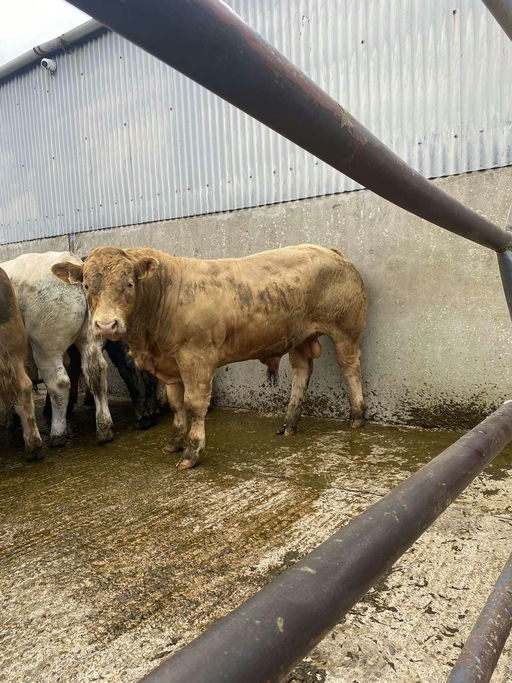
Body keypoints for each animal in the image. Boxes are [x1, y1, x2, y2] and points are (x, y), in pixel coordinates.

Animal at [1, 252, 113, 447]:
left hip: (46, 346)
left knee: (59, 383)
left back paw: (57, 434)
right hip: (90, 337)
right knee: (97, 372)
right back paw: (104, 428)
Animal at [52, 244, 367, 469]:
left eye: (128, 283)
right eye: (86, 286)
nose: (106, 325)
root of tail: (330, 250)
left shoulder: (197, 359)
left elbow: (194, 405)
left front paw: (192, 451)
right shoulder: (171, 366)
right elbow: (177, 405)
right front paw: (174, 442)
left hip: (345, 331)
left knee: (350, 367)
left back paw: (356, 416)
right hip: (299, 337)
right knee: (302, 371)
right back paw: (289, 424)